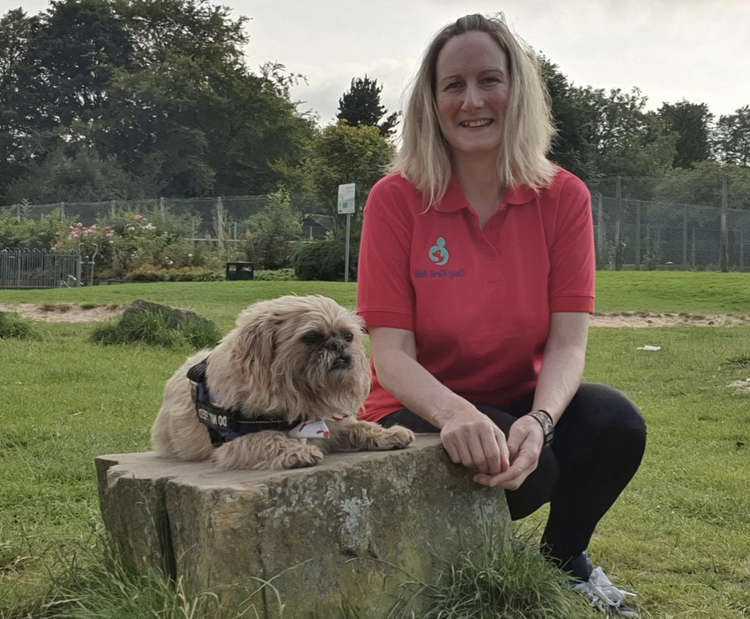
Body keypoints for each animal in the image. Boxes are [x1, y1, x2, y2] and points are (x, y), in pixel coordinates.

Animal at [150, 296, 414, 470]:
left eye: (348, 336)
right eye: (311, 337)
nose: (338, 345)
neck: (295, 390)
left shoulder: (330, 423)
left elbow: (358, 426)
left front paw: (389, 433)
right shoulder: (234, 441)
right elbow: (268, 438)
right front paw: (297, 451)